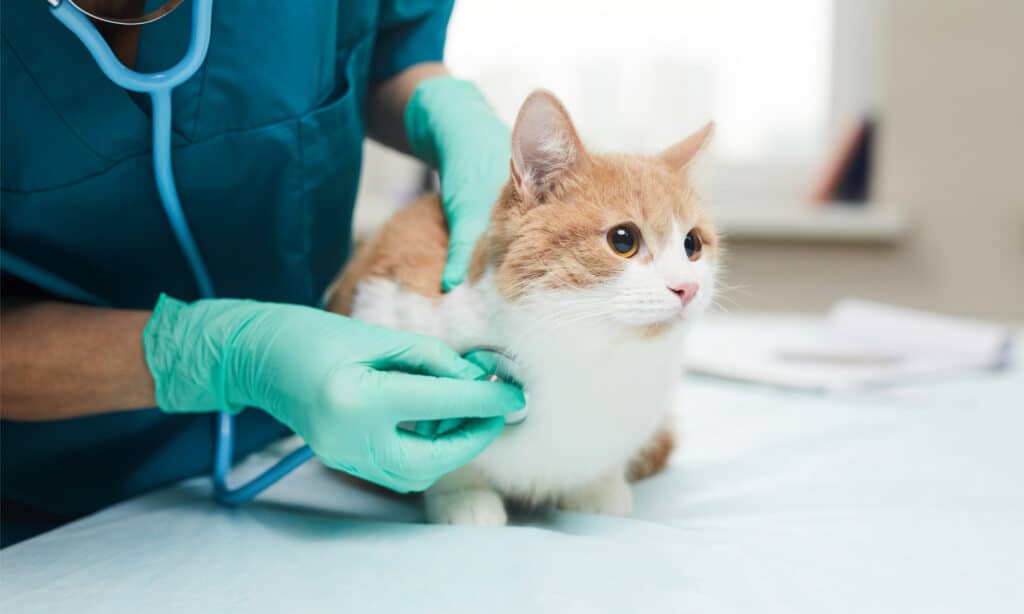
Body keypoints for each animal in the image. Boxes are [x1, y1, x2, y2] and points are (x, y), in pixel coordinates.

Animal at [327, 88, 720, 523]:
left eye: (692, 245)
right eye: (623, 240)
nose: (687, 287)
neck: (582, 355)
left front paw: (597, 487)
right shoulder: (389, 304)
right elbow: (443, 459)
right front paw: (464, 497)